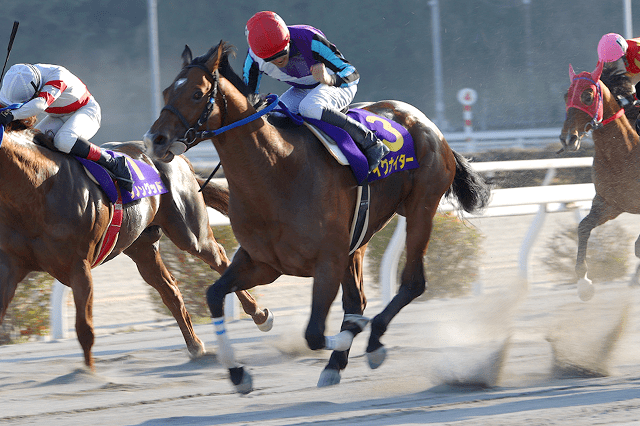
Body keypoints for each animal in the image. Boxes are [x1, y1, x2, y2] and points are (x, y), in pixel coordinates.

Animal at [0, 120, 270, 370]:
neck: (37, 189)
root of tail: (177, 157)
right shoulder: (11, 266)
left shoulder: (79, 266)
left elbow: (84, 329)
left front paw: (91, 375)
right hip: (141, 246)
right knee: (170, 290)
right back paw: (196, 347)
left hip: (190, 234)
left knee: (219, 259)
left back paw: (259, 315)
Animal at [142, 41, 488, 394]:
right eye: (166, 91)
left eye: (197, 94)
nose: (155, 140)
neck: (275, 171)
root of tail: (425, 122)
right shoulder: (263, 263)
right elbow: (214, 295)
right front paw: (238, 373)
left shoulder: (326, 262)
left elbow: (314, 333)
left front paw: (352, 335)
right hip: (360, 236)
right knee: (358, 300)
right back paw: (340, 359)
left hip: (421, 207)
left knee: (412, 282)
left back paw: (373, 342)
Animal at [556, 59, 640, 300]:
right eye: (566, 96)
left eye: (588, 95)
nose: (567, 139)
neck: (624, 153)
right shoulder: (609, 203)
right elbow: (583, 227)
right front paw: (584, 283)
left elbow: (638, 247)